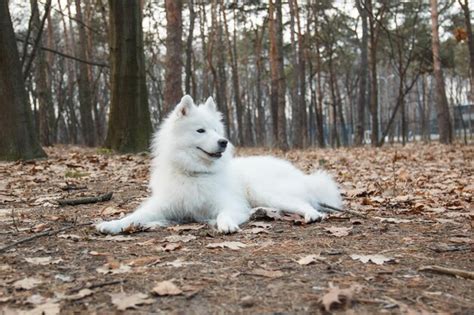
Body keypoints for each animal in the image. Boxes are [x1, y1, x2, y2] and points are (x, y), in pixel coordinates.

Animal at [96, 96, 342, 235]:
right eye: (201, 130)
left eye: (216, 130)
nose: (223, 142)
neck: (195, 173)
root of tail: (301, 175)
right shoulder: (163, 205)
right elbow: (134, 217)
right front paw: (112, 224)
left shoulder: (228, 203)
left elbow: (225, 213)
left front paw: (226, 224)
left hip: (266, 191)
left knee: (304, 204)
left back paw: (311, 215)